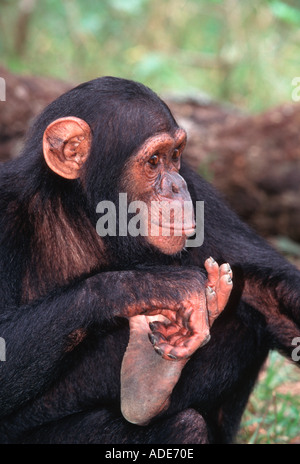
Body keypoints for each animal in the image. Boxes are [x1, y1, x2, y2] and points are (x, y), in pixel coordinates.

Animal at [0, 77, 298, 446]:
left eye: (175, 156)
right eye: (154, 160)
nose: (176, 186)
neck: (84, 214)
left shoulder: (199, 190)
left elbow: (267, 293)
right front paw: (165, 286)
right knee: (186, 425)